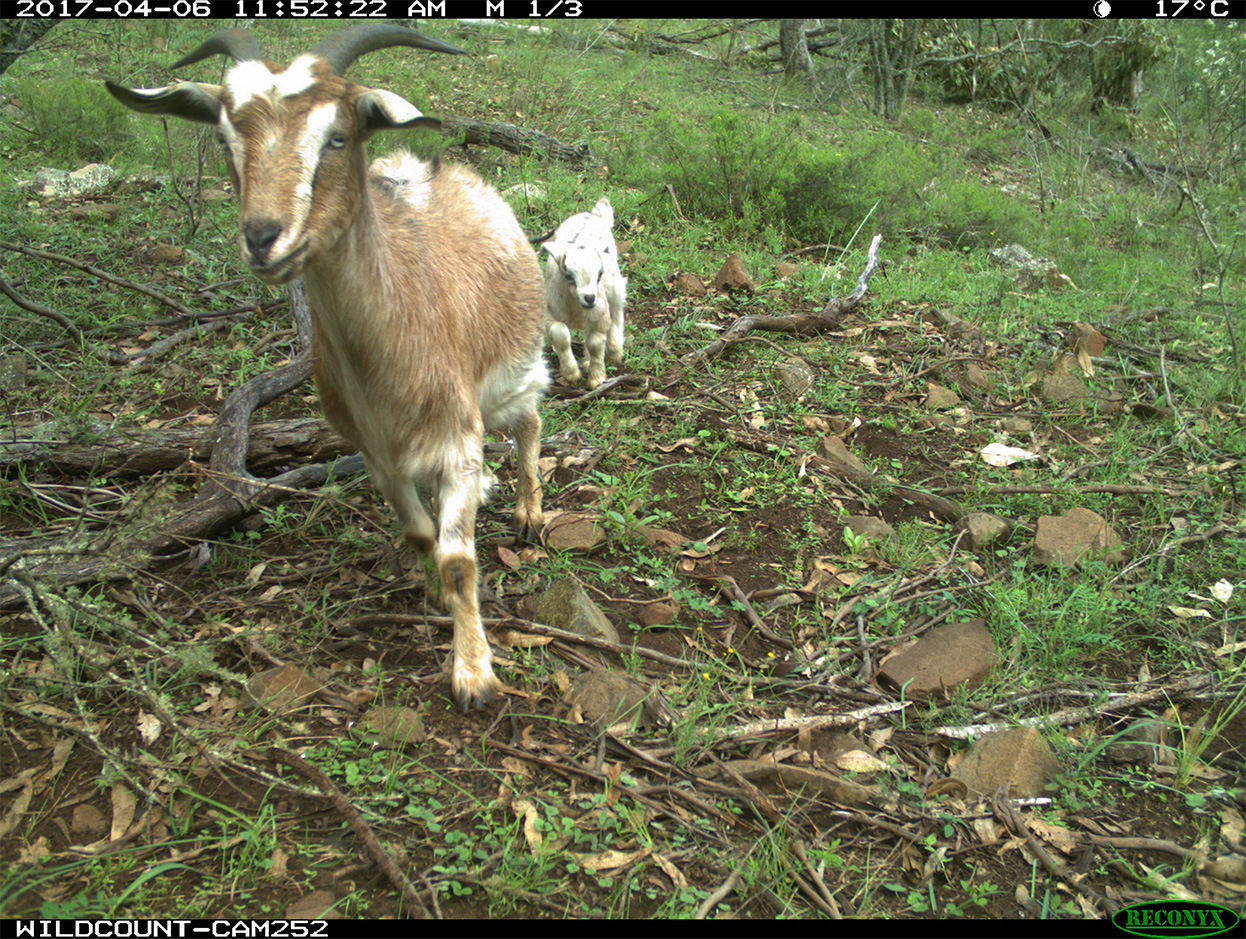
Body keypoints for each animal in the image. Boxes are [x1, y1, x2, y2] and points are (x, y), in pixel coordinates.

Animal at [106, 26, 548, 711]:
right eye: (225, 139)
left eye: (337, 136)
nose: (264, 236)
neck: (385, 360)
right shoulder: (375, 451)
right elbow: (423, 536)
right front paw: (429, 591)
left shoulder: (458, 434)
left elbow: (459, 559)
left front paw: (474, 674)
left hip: (513, 370)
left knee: (528, 422)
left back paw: (529, 513)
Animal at [542, 197, 627, 388]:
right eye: (568, 275)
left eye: (599, 274)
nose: (589, 298)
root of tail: (594, 215)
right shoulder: (550, 315)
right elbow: (561, 335)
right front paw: (571, 373)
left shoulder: (600, 314)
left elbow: (595, 344)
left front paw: (597, 378)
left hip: (615, 285)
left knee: (617, 310)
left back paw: (615, 349)